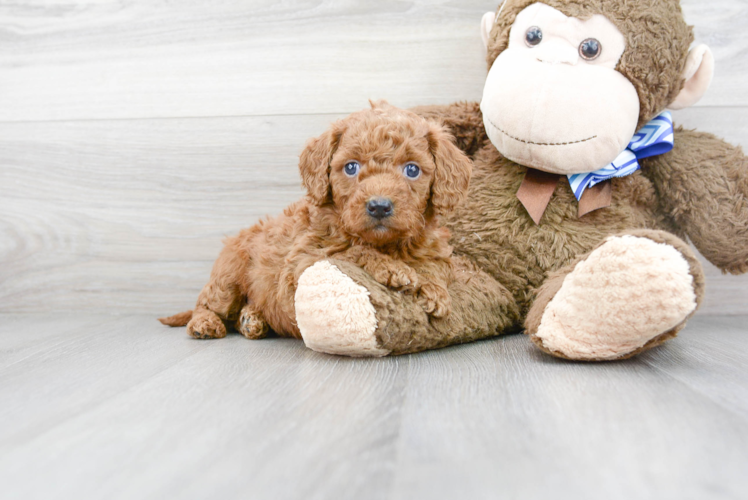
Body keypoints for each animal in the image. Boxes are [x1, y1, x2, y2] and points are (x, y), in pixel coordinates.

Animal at [160, 103, 470, 342]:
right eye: (351, 167)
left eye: (412, 170)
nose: (379, 206)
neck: (386, 244)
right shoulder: (299, 266)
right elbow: (348, 251)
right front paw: (392, 268)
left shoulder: (435, 249)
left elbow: (437, 267)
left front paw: (434, 290)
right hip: (228, 277)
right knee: (206, 303)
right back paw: (205, 323)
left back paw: (253, 319)